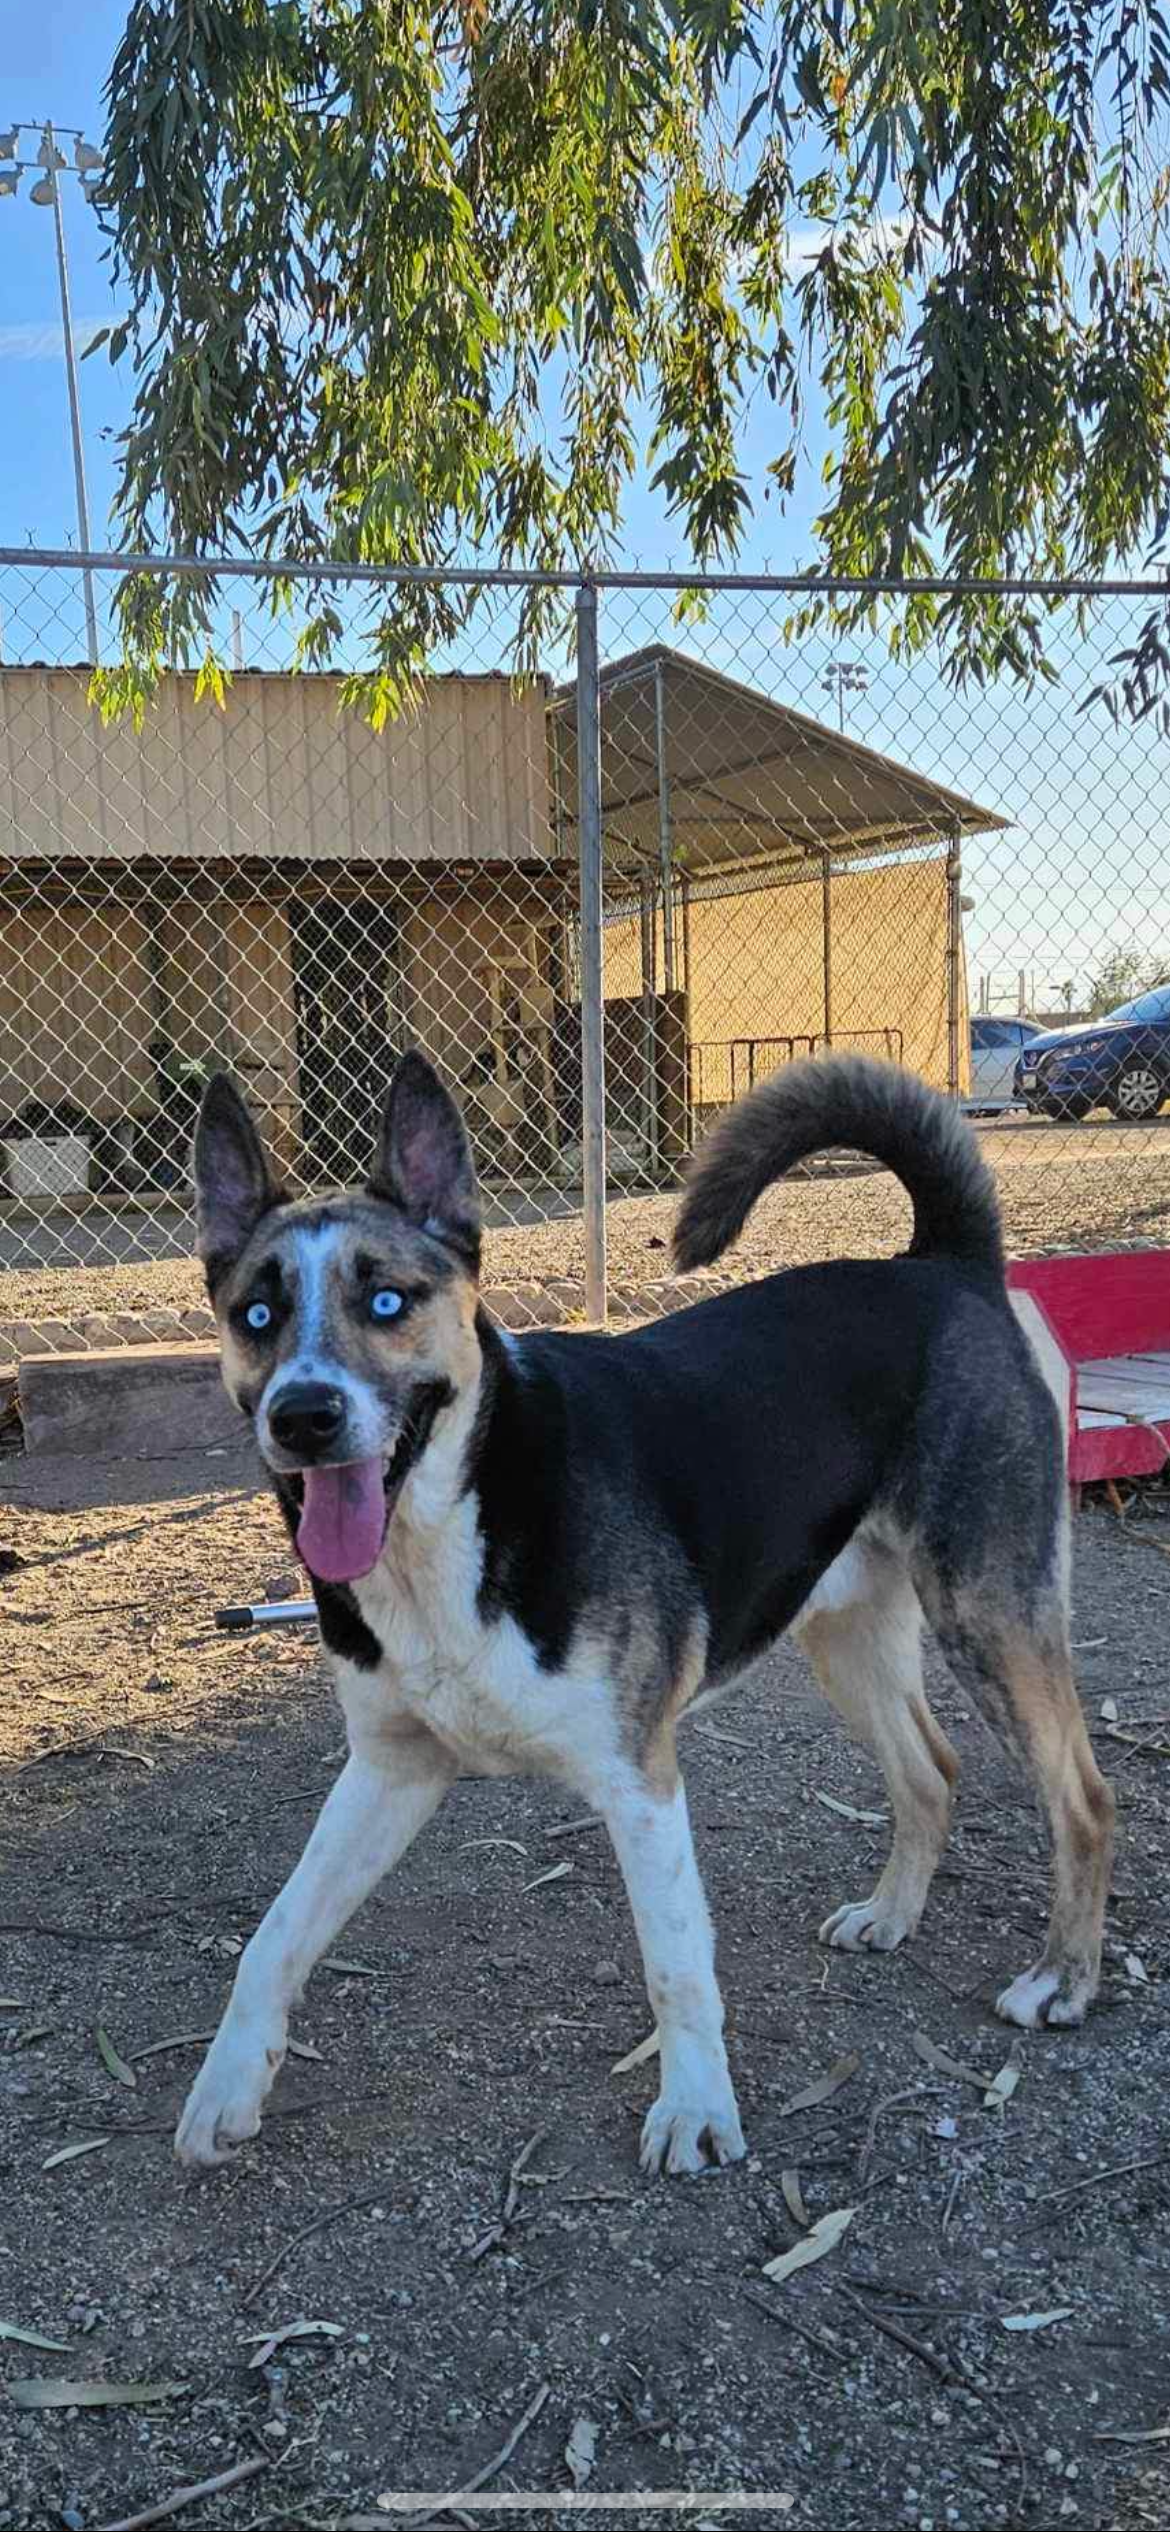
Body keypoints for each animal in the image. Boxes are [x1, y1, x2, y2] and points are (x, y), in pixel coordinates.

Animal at [176, 1048, 1114, 2177]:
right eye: (256, 1316)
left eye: (389, 1299)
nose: (304, 1416)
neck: (456, 1518)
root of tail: (944, 1265)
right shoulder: (391, 1770)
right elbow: (272, 1936)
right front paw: (227, 2084)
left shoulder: (640, 1784)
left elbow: (676, 1967)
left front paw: (697, 2110)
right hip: (847, 1636)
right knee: (930, 1771)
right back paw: (892, 1915)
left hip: (988, 1614)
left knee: (1082, 1798)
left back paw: (1062, 1982)